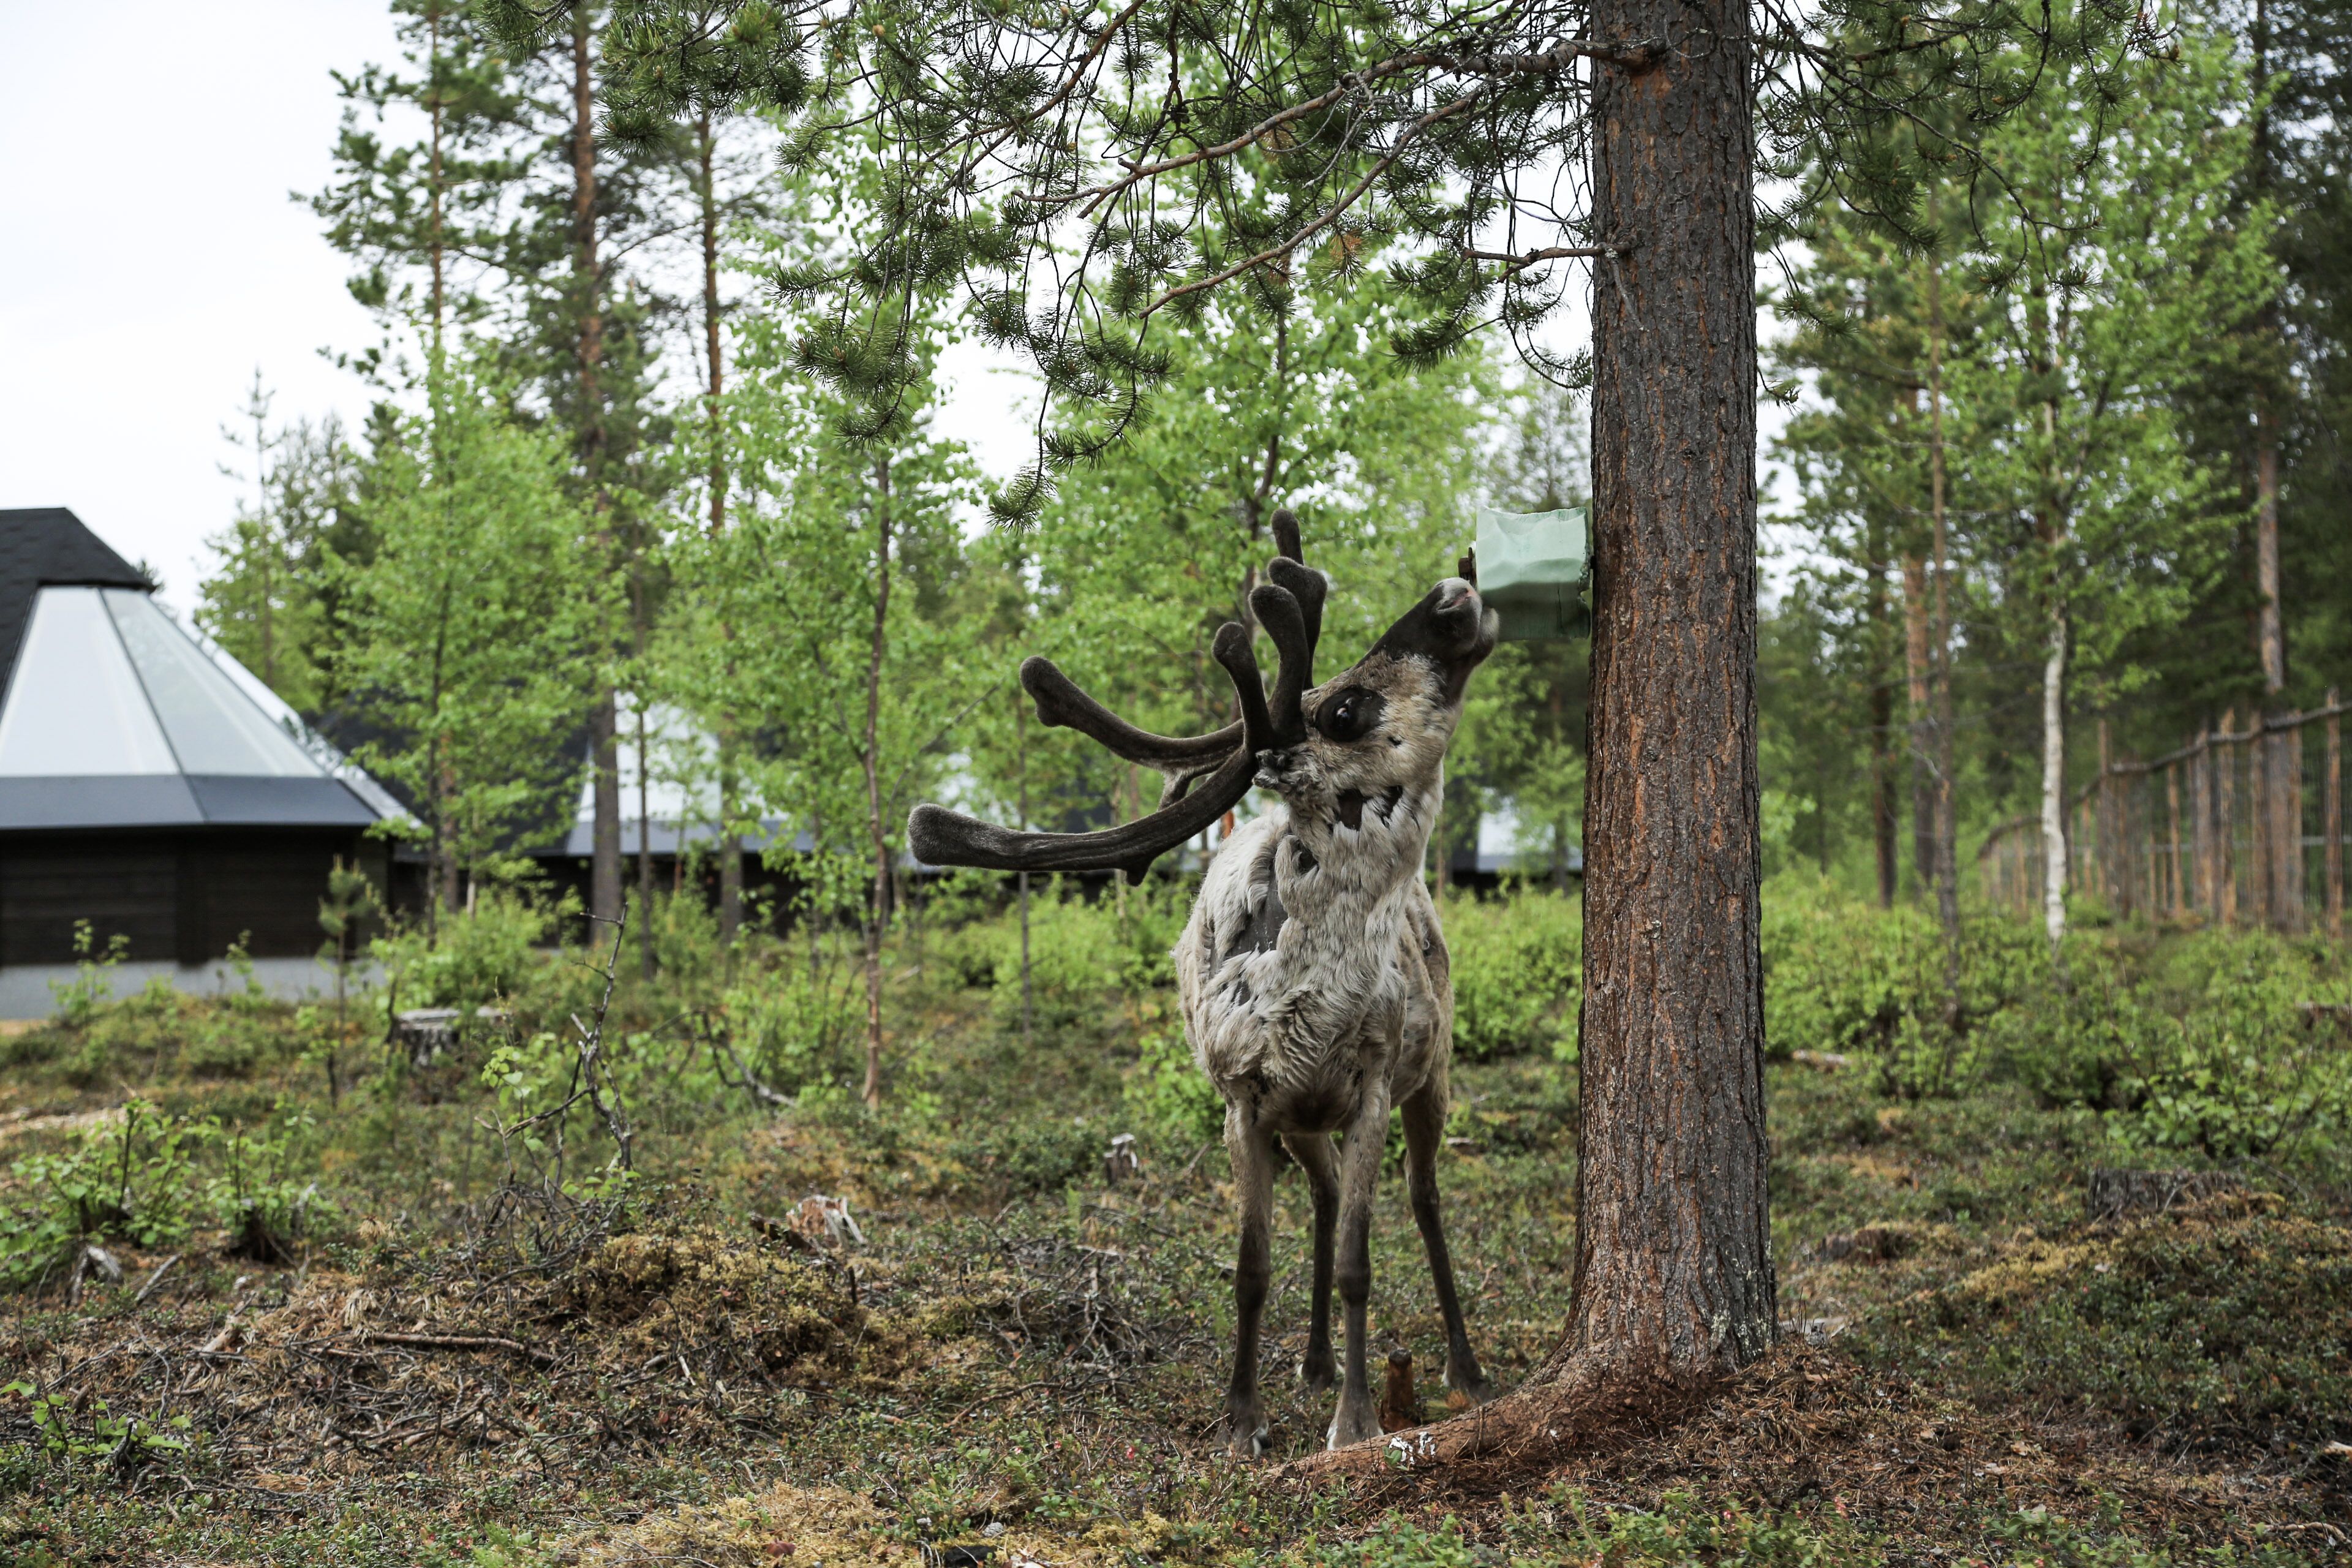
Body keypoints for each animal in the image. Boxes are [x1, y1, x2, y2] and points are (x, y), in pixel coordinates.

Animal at [908, 511, 1499, 1455]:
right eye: (1345, 707)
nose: (1454, 591)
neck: (1312, 992)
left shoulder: (1371, 1087)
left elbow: (1358, 1263)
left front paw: (1355, 1420)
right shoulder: (1246, 1099)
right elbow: (1252, 1264)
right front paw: (1242, 1418)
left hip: (1432, 1072)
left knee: (1427, 1199)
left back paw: (1465, 1370)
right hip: (1303, 1119)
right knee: (1326, 1193)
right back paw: (1313, 1362)